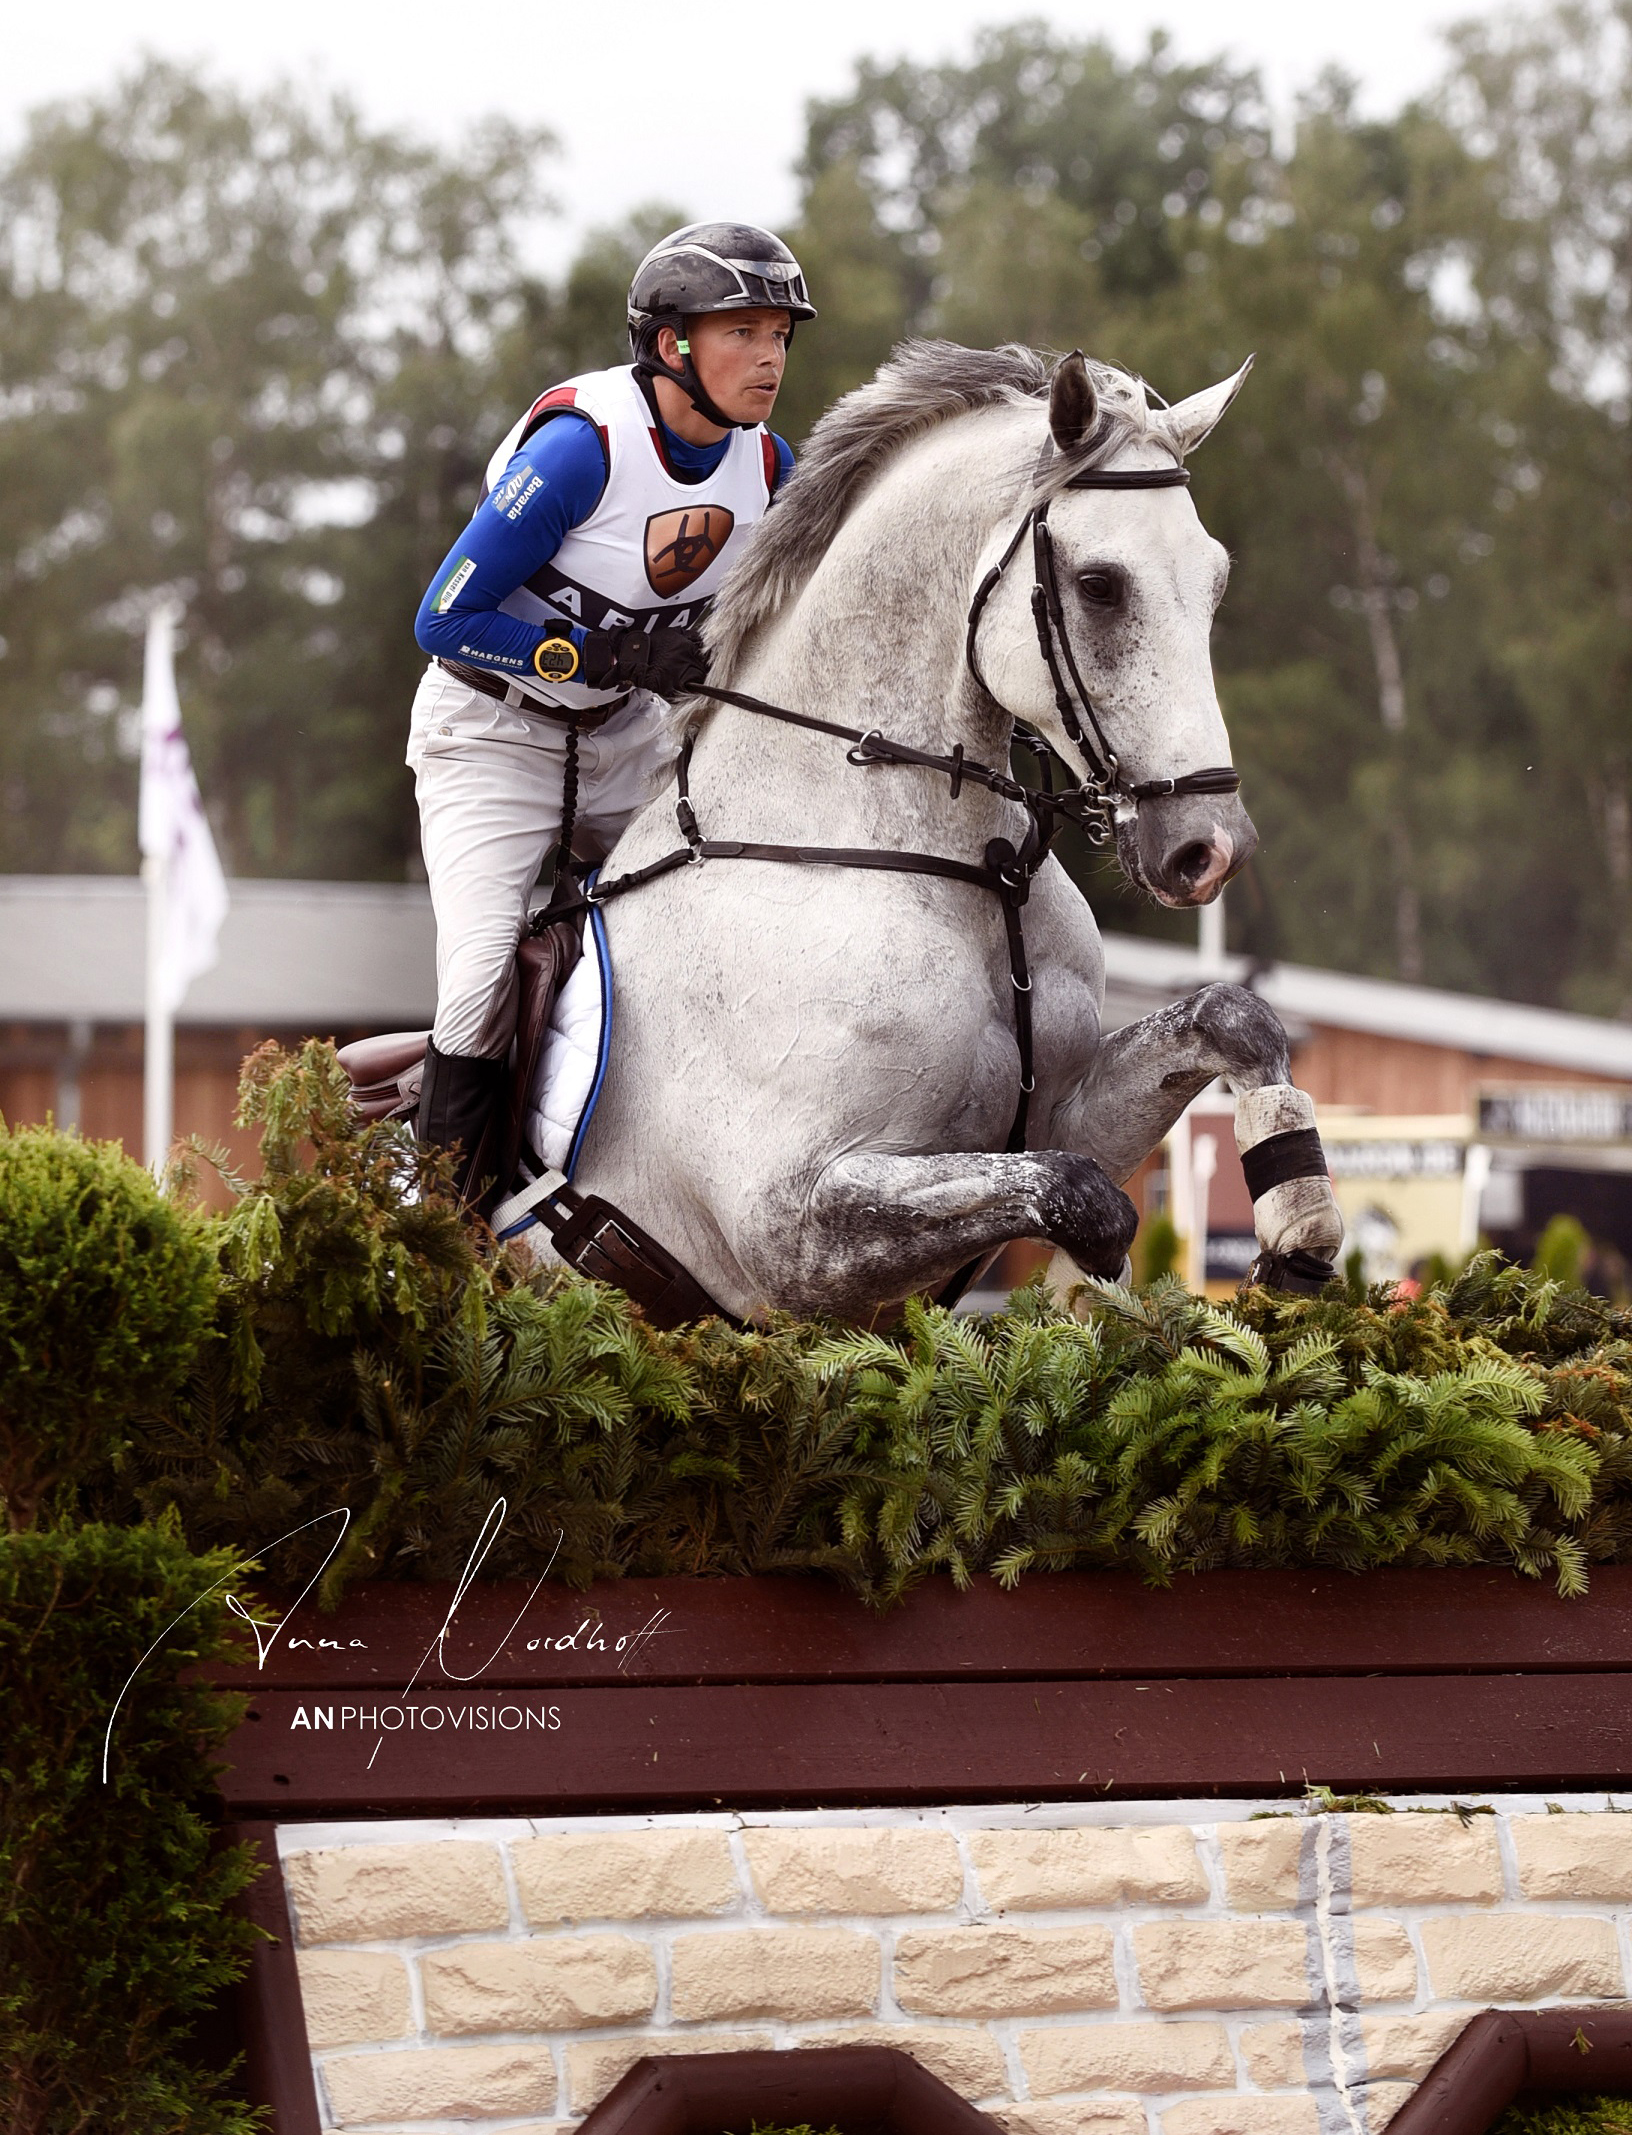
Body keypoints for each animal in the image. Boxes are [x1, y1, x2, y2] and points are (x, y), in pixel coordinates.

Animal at [519, 343, 1341, 1323]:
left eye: (1214, 581)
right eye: (1100, 586)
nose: (1209, 849)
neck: (960, 868)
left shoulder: (1063, 1111)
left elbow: (1230, 1018)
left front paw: (1300, 1236)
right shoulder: (791, 1231)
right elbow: (1081, 1200)